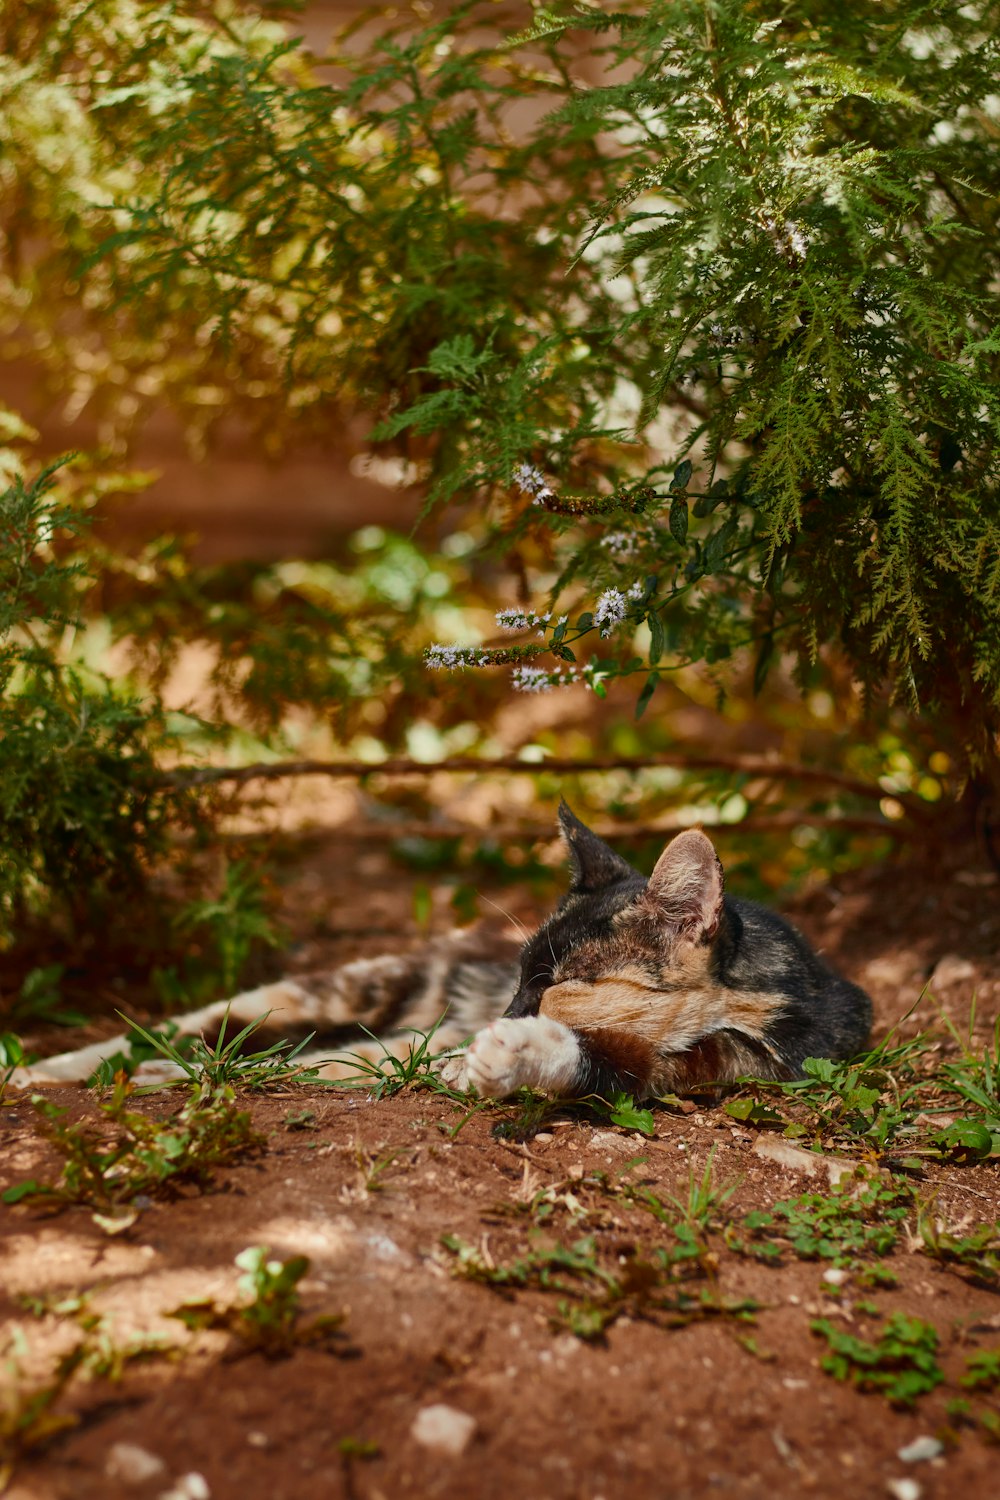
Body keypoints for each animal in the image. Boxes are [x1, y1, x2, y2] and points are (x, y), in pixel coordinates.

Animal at [5, 804, 869, 1098]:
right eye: (521, 976)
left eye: (556, 983)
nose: (503, 1012)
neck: (755, 993)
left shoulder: (719, 1065)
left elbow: (601, 1065)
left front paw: (510, 1058)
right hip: (347, 986)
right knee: (186, 1032)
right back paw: (45, 1069)